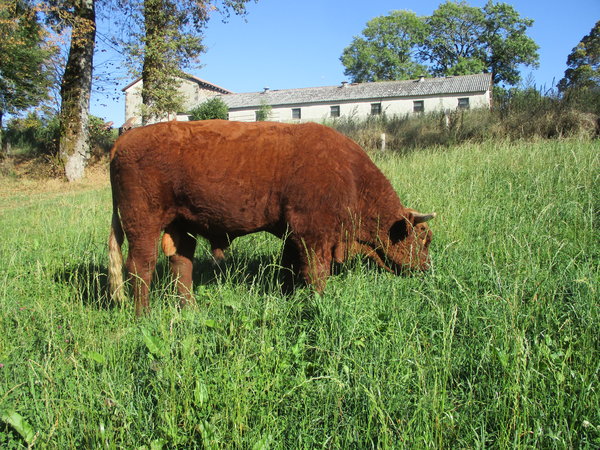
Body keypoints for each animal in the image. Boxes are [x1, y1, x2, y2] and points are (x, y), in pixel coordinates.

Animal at [109, 121, 436, 314]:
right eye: (424, 240)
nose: (427, 269)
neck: (350, 175)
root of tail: (126, 138)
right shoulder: (312, 234)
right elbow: (316, 272)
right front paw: (318, 303)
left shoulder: (294, 235)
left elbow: (289, 269)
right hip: (143, 222)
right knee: (140, 266)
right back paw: (143, 315)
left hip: (180, 225)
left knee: (181, 263)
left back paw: (190, 311)